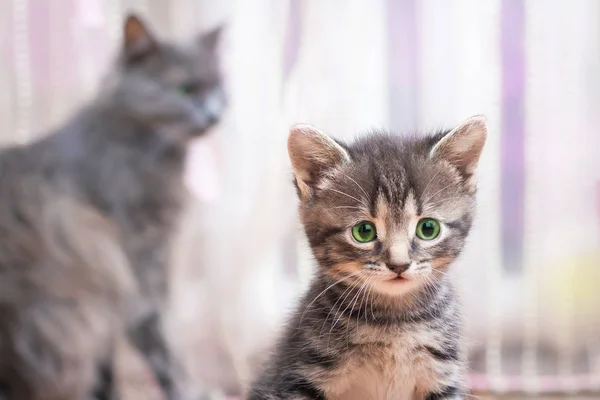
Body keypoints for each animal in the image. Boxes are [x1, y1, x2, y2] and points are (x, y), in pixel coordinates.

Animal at [0, 13, 225, 400]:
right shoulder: (134, 265)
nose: (212, 115)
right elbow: (162, 347)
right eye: (184, 90)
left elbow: (113, 362)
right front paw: (191, 391)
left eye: (218, 89)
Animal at [248, 116, 488, 400]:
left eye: (428, 228)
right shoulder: (302, 374)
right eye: (364, 231)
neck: (393, 320)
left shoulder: (442, 376)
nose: (399, 264)